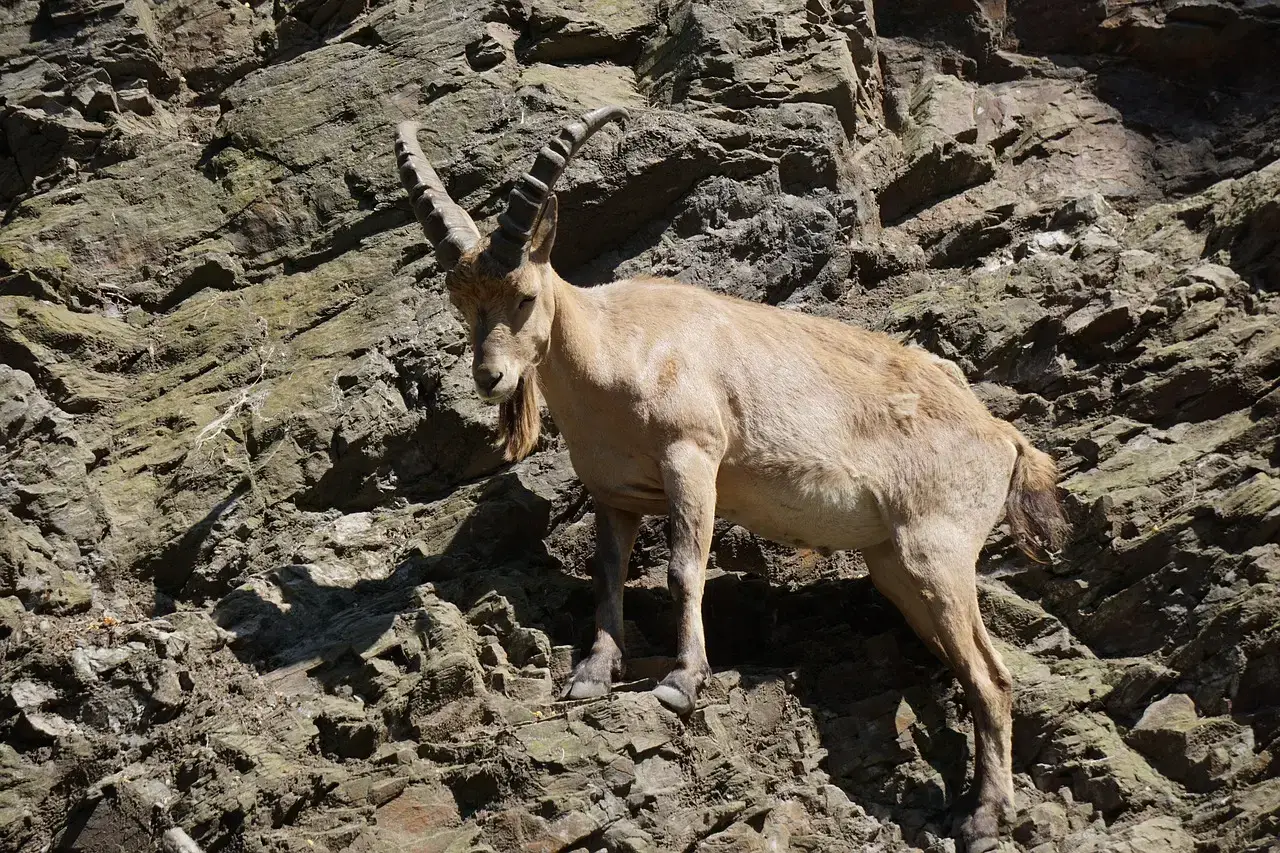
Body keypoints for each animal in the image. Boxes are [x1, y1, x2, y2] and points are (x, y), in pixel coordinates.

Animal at [395, 106, 1068, 852]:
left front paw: (681, 680)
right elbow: (607, 578)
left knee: (994, 677)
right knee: (963, 666)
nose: (491, 378)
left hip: (938, 548)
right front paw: (594, 674)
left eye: (524, 294)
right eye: (462, 301)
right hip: (896, 565)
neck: (617, 348)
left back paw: (985, 816)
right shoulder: (616, 494)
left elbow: (683, 569)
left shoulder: (692, 456)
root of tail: (1003, 438)